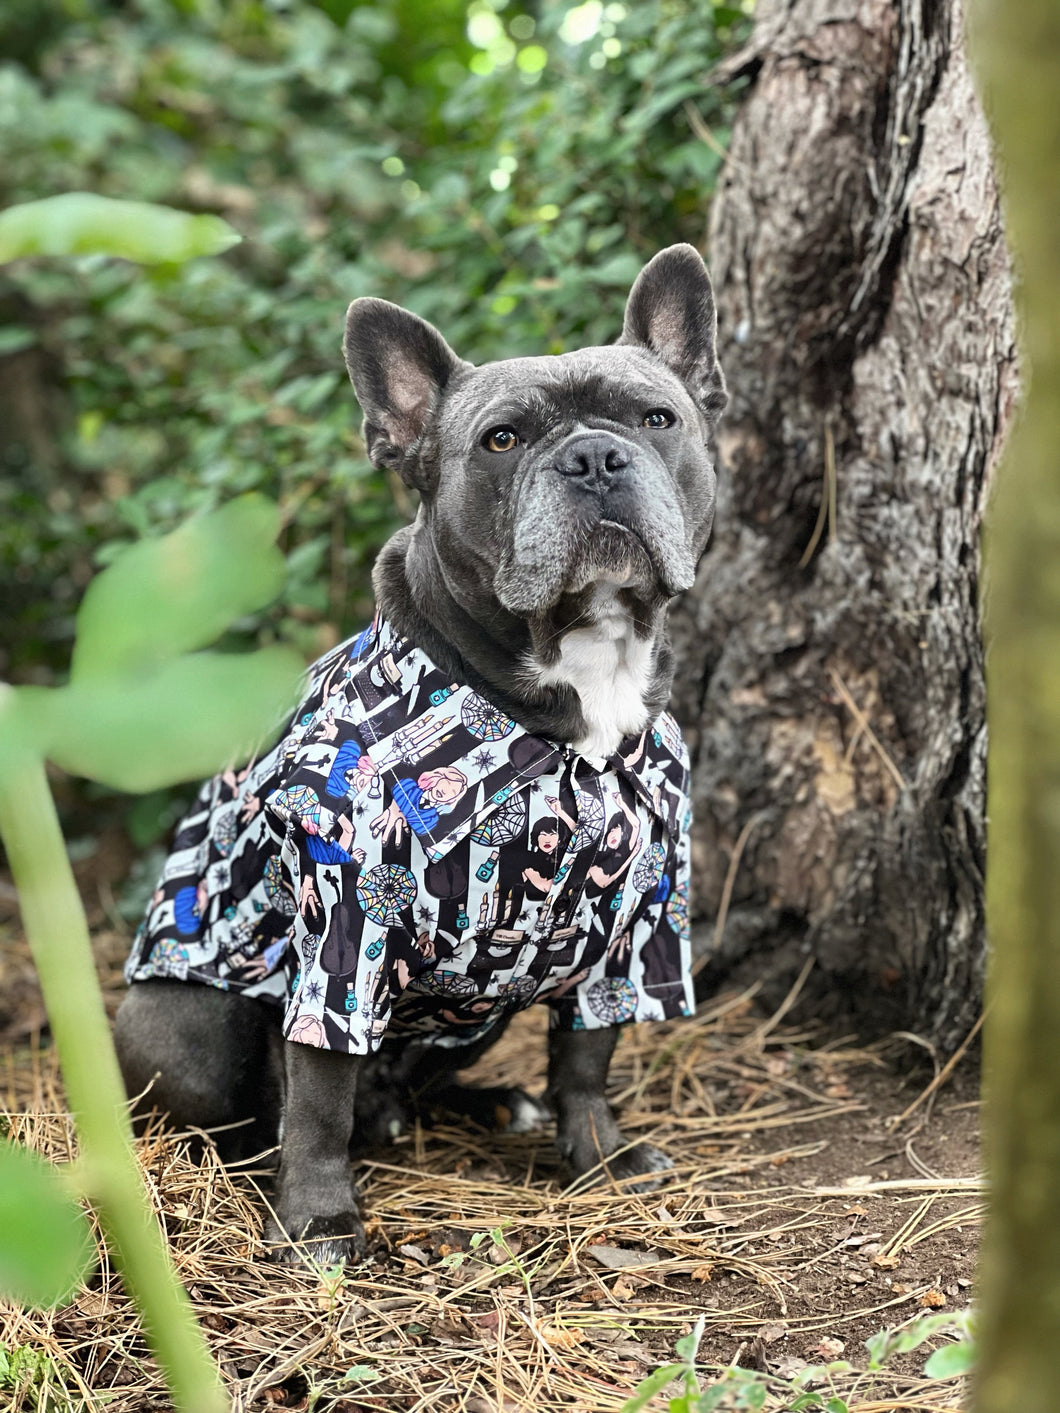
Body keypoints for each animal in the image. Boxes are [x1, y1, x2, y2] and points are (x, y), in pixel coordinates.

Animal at [115, 237, 729, 1266]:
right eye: (502, 441)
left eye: (657, 418)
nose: (595, 456)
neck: (568, 705)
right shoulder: (346, 932)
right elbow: (320, 1088)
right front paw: (321, 1219)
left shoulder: (635, 928)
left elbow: (588, 1054)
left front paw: (599, 1156)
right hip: (182, 1022)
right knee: (259, 1103)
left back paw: (494, 1105)